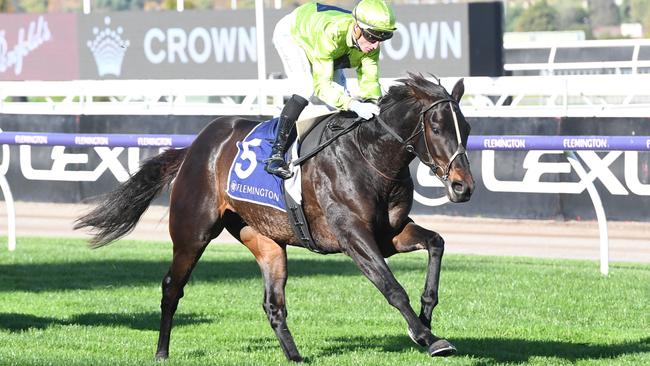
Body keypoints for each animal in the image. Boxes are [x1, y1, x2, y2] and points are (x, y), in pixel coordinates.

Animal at [74, 73, 470, 362]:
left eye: (465, 128)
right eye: (437, 128)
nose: (462, 186)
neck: (369, 156)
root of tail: (194, 147)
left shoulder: (391, 234)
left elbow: (436, 243)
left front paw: (425, 316)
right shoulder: (353, 236)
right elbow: (392, 287)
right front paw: (428, 337)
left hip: (265, 240)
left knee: (273, 304)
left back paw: (295, 357)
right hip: (192, 231)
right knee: (172, 287)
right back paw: (161, 352)